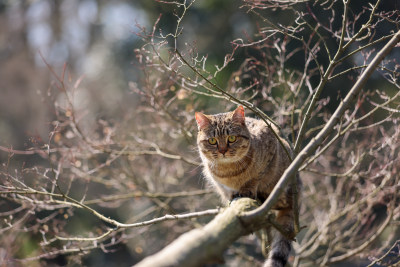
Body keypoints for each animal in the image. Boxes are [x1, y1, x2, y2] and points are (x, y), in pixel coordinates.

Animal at [195, 105, 298, 267]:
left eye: (232, 138)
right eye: (212, 141)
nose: (223, 151)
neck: (229, 172)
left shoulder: (270, 144)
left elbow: (255, 177)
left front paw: (247, 189)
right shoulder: (218, 182)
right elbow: (227, 191)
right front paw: (232, 196)